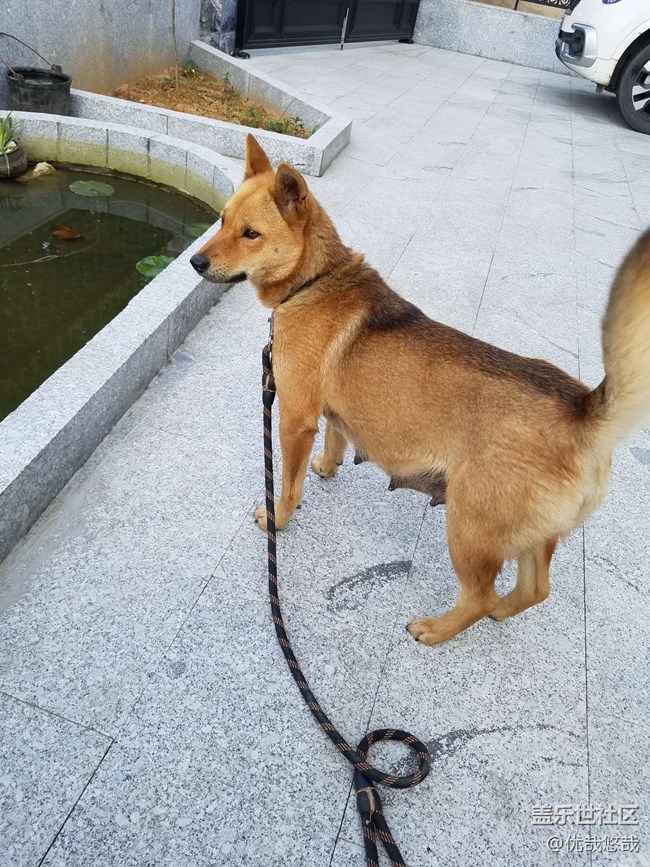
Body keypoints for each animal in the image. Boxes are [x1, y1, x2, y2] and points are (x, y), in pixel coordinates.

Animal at [190, 134, 650, 645]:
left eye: (250, 234)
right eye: (221, 220)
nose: (195, 261)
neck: (316, 280)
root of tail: (583, 410)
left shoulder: (293, 419)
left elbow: (288, 487)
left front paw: (279, 518)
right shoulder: (331, 411)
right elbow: (336, 435)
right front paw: (328, 466)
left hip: (468, 528)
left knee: (480, 595)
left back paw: (436, 629)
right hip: (529, 536)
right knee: (535, 589)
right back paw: (502, 612)